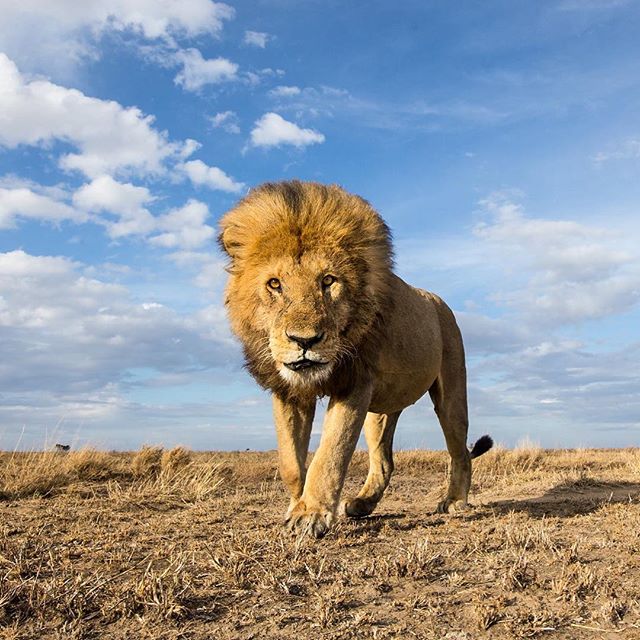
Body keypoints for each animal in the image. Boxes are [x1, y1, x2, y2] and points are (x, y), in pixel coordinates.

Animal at [219, 181, 492, 538]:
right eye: (274, 284)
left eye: (328, 280)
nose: (304, 341)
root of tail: (438, 301)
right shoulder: (289, 391)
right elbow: (290, 462)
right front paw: (297, 507)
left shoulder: (355, 384)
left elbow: (330, 453)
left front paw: (311, 515)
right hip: (381, 411)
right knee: (385, 461)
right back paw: (362, 505)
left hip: (451, 392)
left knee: (460, 451)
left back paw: (455, 501)